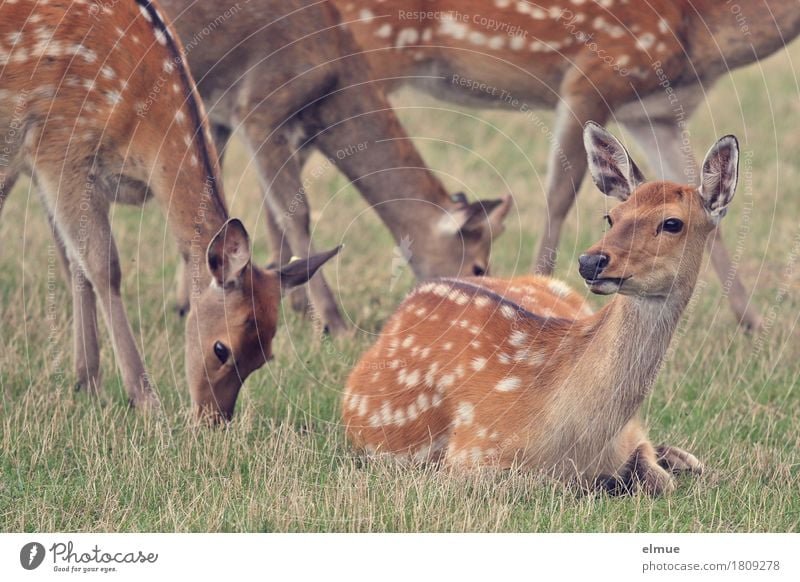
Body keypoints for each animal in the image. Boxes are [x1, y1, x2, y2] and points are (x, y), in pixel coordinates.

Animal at [0, 0, 338, 422]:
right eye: (221, 348)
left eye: (265, 357)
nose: (213, 420)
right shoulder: (57, 149)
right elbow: (103, 266)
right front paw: (144, 400)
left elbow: (77, 264)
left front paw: (87, 382)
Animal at [158, 0, 512, 334]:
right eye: (479, 267)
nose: (484, 316)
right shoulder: (258, 110)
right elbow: (294, 213)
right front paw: (333, 324)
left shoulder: (217, 117)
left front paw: (188, 305)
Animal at [334, 0, 800, 330]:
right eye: (609, 218)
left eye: (671, 225)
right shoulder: (594, 72)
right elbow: (559, 198)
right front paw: (538, 296)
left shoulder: (654, 112)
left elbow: (701, 201)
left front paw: (753, 323)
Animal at [340, 124, 736, 498]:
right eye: (611, 216)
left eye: (672, 223)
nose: (591, 261)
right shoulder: (470, 453)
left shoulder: (630, 434)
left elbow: (658, 478)